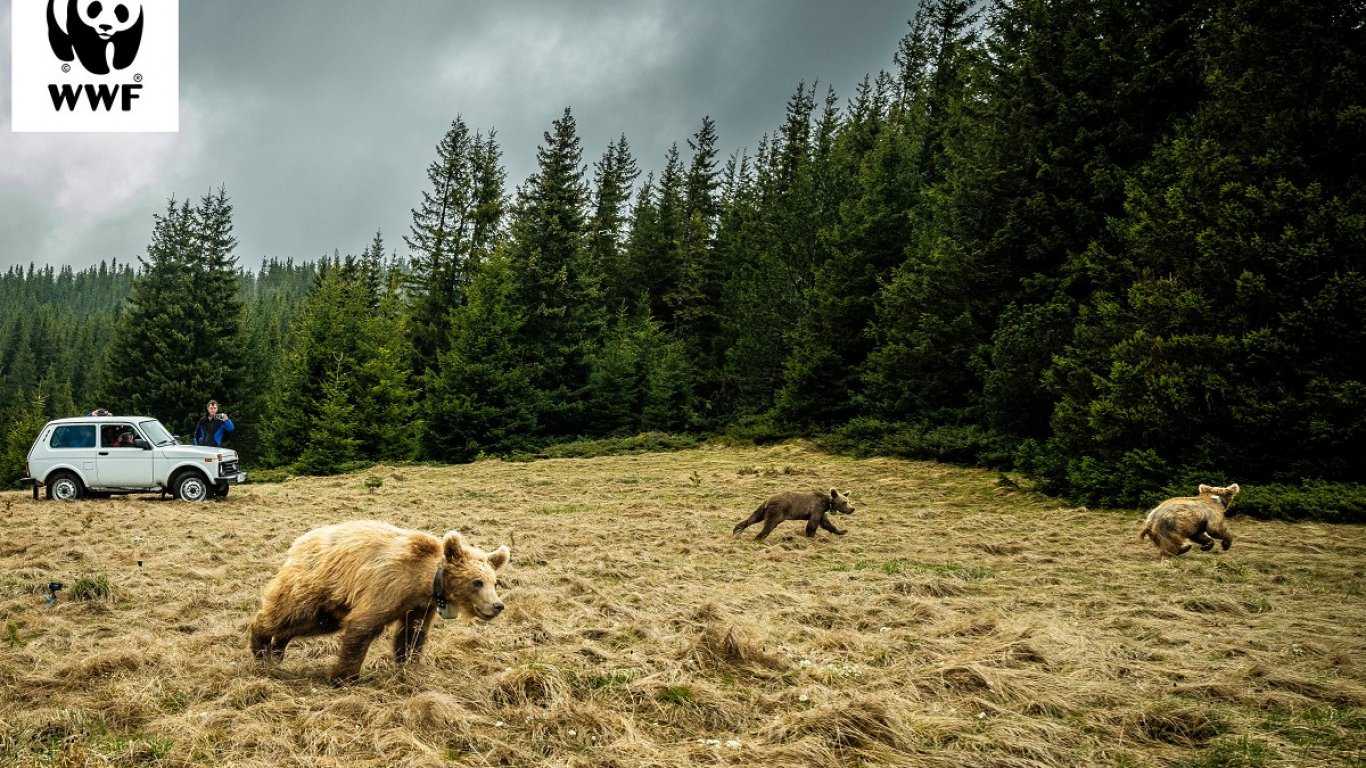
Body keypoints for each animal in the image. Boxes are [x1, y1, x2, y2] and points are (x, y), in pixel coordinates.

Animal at [248, 516, 510, 677]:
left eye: (494, 581)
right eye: (477, 582)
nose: (497, 605)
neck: (425, 582)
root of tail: (299, 542)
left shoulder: (419, 606)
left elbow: (412, 634)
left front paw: (409, 665)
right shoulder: (388, 586)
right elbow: (363, 626)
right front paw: (344, 676)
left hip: (329, 607)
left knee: (311, 624)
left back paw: (278, 649)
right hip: (313, 584)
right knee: (285, 610)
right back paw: (260, 648)